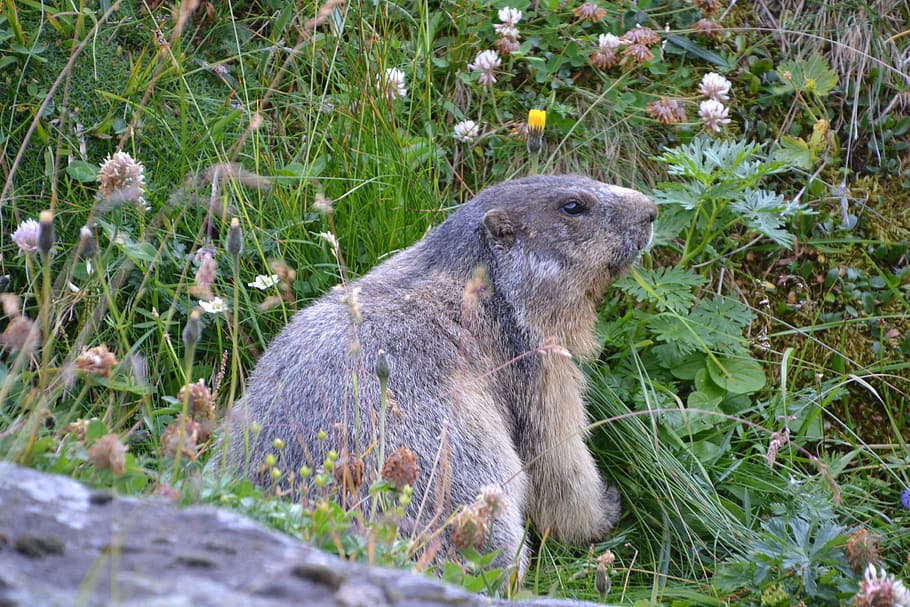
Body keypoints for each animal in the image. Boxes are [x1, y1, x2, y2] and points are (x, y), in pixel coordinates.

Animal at [232, 174, 656, 571]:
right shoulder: (537, 363)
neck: (483, 284)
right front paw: (605, 509)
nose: (651, 210)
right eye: (573, 206)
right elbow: (558, 452)